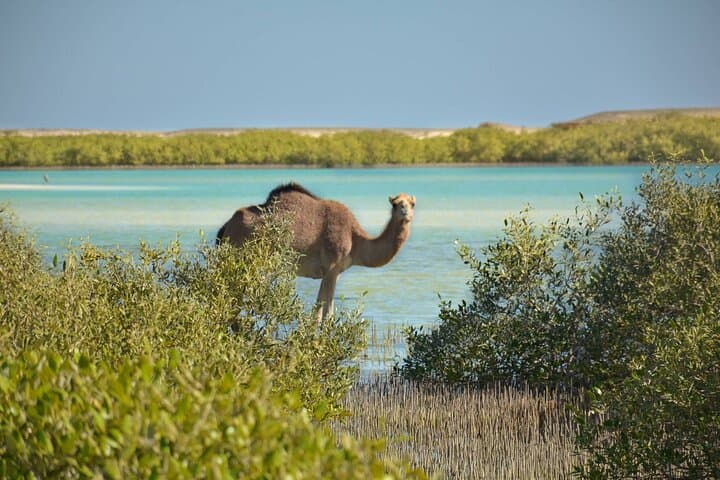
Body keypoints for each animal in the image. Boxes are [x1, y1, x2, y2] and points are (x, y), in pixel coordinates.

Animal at [216, 183, 415, 321]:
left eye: (412, 203)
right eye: (395, 204)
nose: (405, 211)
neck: (355, 239)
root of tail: (226, 227)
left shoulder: (331, 272)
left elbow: (318, 312)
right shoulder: (332, 268)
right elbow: (326, 315)